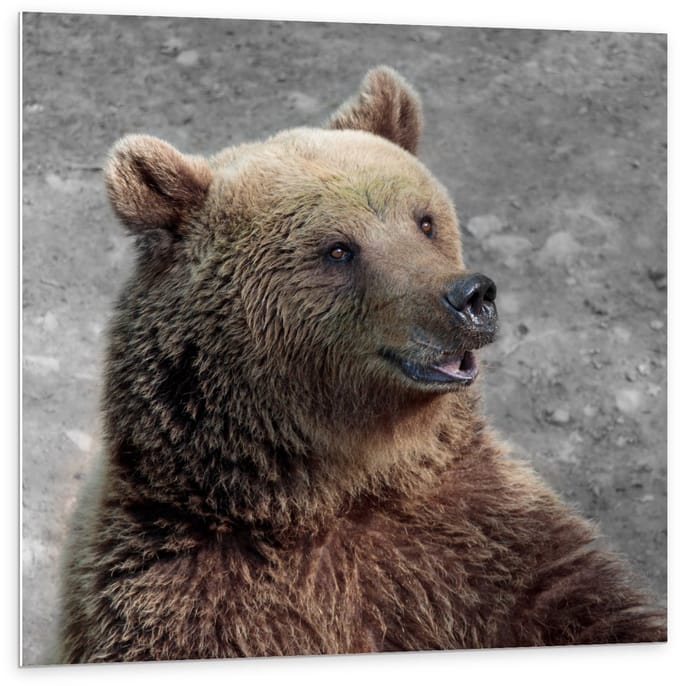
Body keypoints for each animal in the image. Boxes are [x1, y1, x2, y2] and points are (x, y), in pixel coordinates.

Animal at [57, 66, 666, 663]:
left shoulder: (485, 541)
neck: (339, 487)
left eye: (424, 221)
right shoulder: (181, 589)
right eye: (338, 249)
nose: (471, 296)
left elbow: (577, 596)